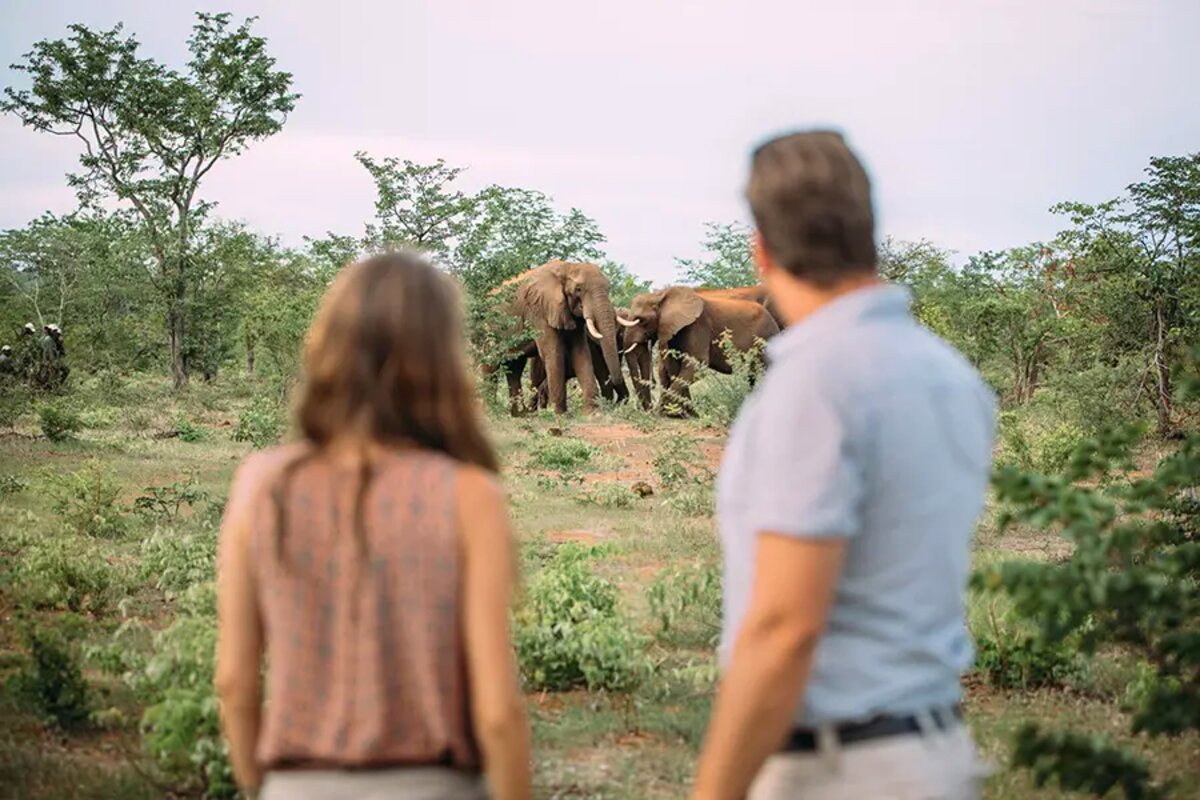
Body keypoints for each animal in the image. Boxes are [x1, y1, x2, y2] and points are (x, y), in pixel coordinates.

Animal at [496, 260, 627, 415]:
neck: (567, 267)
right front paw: (559, 414)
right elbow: (553, 353)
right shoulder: (538, 309)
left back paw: (520, 415)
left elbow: (581, 353)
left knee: (514, 367)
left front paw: (592, 413)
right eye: (578, 289)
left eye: (608, 289)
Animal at [617, 286, 779, 415]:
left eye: (642, 320)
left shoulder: (698, 326)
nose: (648, 411)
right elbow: (674, 369)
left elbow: (696, 364)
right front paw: (685, 414)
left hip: (767, 337)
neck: (661, 295)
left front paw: (664, 413)